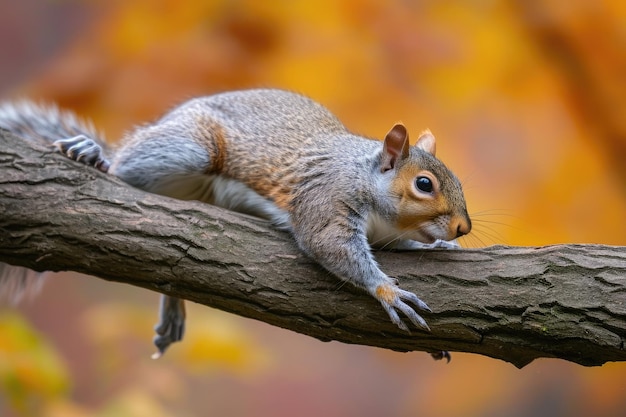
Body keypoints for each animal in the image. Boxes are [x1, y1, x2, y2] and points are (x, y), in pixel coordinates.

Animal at [0, 88, 468, 360]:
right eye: (423, 184)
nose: (462, 229)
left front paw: (438, 247)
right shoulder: (326, 197)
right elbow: (331, 245)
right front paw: (387, 291)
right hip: (189, 147)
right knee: (124, 166)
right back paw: (95, 155)